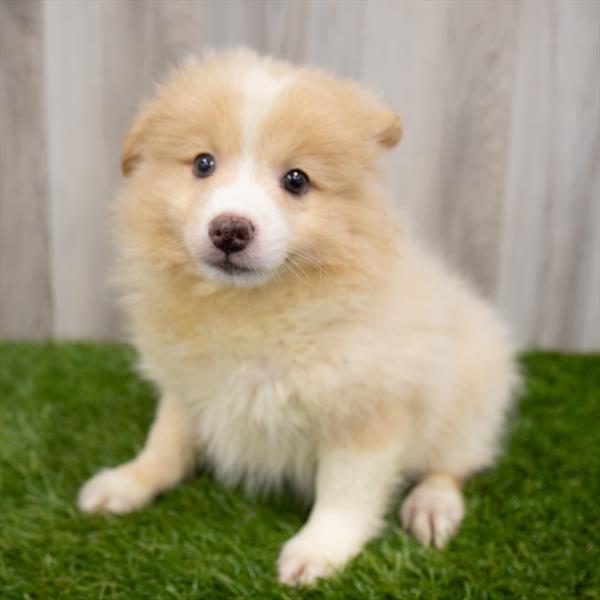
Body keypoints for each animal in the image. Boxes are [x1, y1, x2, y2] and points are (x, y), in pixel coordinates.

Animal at [77, 49, 516, 584]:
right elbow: (163, 445)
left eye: (296, 180)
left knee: (451, 465)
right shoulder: (188, 388)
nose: (230, 230)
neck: (254, 306)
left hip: (469, 401)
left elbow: (345, 493)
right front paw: (125, 483)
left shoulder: (367, 410)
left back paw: (432, 508)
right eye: (203, 164)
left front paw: (319, 550)